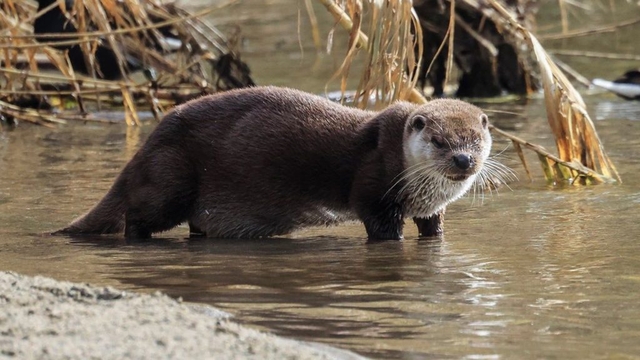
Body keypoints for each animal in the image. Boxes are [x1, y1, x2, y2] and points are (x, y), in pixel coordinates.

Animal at [56, 86, 496, 240]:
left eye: (475, 140)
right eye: (439, 141)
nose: (463, 159)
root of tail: (148, 144)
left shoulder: (431, 209)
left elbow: (433, 230)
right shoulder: (374, 188)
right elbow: (382, 228)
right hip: (171, 176)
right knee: (138, 215)